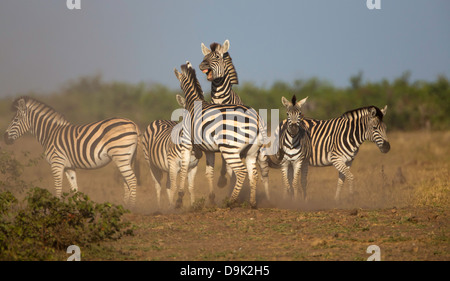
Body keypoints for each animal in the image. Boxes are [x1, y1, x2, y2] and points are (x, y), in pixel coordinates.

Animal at [3, 97, 139, 207]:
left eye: (15, 120)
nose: (5, 138)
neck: (50, 133)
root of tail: (133, 123)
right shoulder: (69, 167)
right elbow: (74, 189)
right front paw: (78, 209)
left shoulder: (56, 163)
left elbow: (58, 188)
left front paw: (55, 209)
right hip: (127, 158)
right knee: (126, 181)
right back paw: (125, 205)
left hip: (121, 155)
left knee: (132, 180)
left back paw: (131, 208)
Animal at [174, 60, 268, 206]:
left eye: (179, 85)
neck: (194, 104)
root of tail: (257, 119)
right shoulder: (209, 150)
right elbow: (209, 173)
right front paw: (212, 198)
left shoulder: (187, 143)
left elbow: (184, 170)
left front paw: (179, 199)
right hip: (251, 151)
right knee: (254, 174)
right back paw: (252, 202)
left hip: (230, 149)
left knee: (241, 171)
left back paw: (230, 201)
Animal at [199, 39, 268, 198]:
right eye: (205, 57)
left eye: (217, 57)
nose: (202, 65)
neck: (220, 100)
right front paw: (222, 180)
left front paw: (224, 181)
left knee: (262, 173)